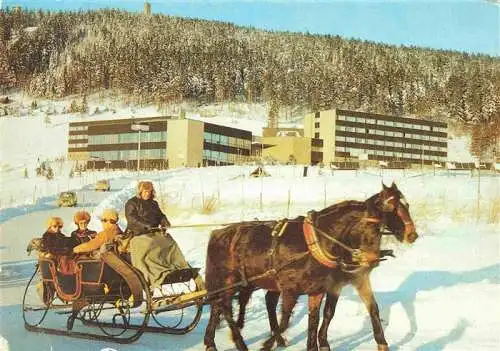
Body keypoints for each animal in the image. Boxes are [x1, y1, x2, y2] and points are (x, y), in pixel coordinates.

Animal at [203, 183, 418, 350]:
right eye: (392, 209)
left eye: (407, 205)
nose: (412, 235)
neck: (319, 242)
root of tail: (217, 233)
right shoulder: (293, 289)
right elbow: (286, 320)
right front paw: (267, 344)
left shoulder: (320, 289)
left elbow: (316, 320)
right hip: (228, 280)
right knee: (224, 307)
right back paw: (238, 342)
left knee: (220, 305)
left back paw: (211, 341)